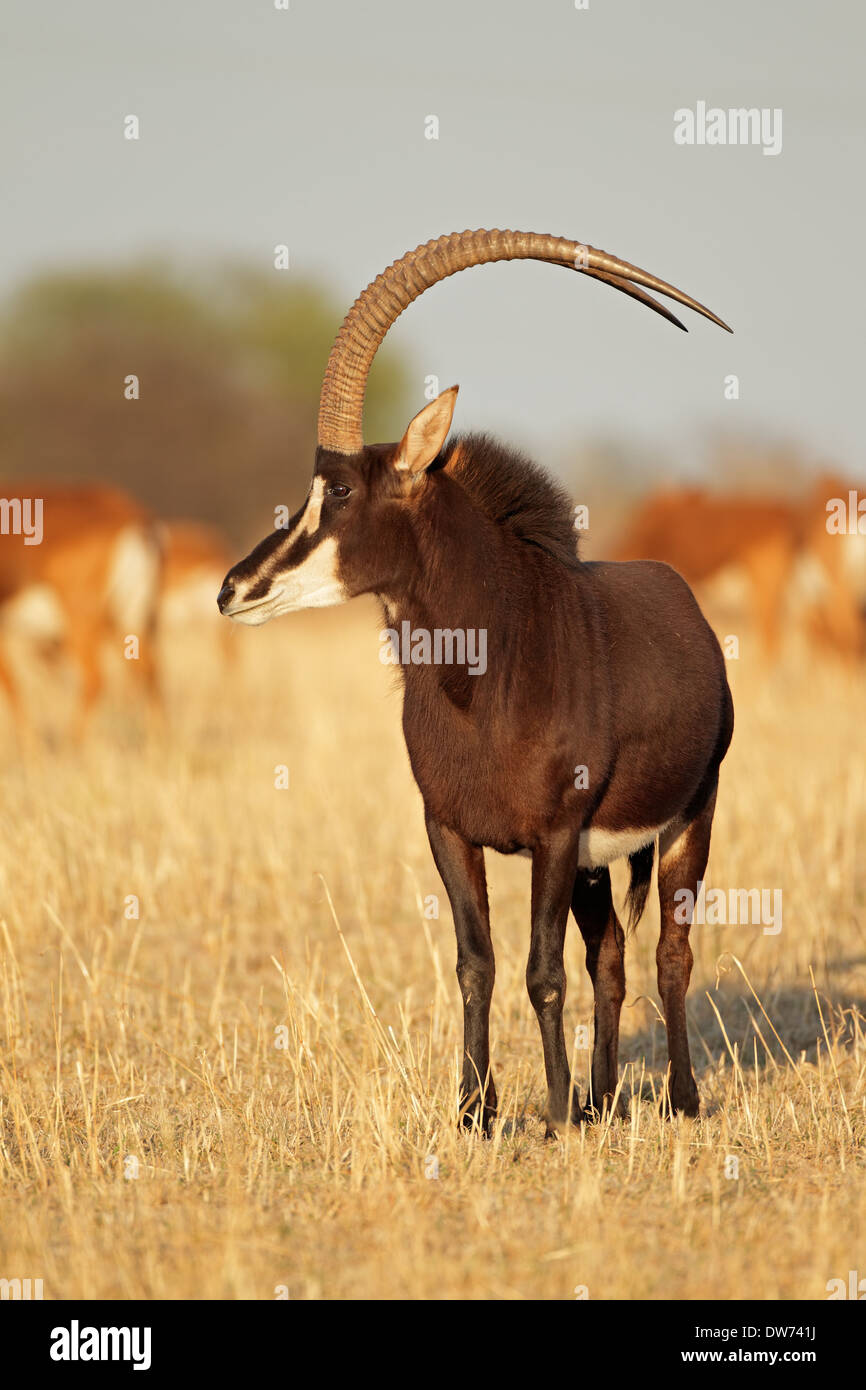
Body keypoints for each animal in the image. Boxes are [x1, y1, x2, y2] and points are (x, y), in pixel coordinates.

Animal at [0, 483, 161, 733]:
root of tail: (131, 518)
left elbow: (12, 687)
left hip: (84, 624)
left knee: (94, 679)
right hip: (132, 623)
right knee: (151, 675)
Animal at [219, 227, 733, 1134]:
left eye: (340, 489)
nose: (233, 589)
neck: (487, 666)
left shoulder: (554, 835)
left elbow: (541, 971)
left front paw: (553, 1115)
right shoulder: (450, 830)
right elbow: (477, 963)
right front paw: (475, 1111)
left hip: (688, 819)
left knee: (670, 952)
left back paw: (676, 1098)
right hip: (600, 860)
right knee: (610, 954)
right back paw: (604, 1099)